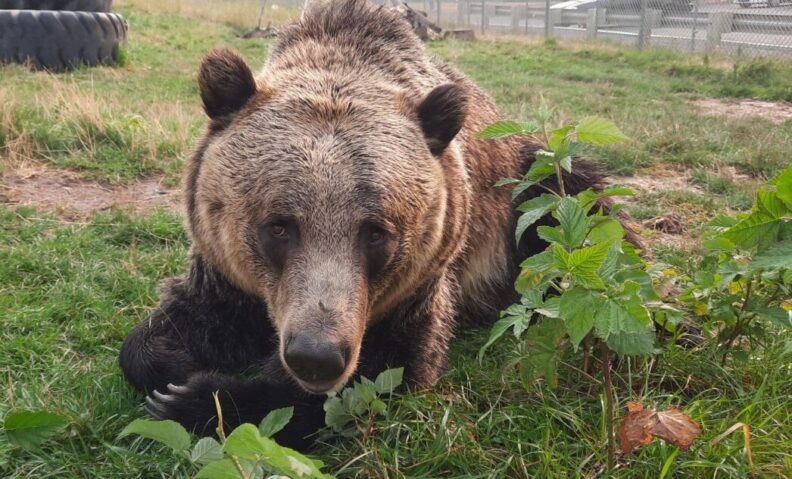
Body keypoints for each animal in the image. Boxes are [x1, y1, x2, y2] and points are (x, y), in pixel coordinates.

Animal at [119, 0, 615, 448]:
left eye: (376, 232)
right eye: (279, 226)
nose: (315, 355)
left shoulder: (422, 282)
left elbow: (382, 371)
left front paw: (196, 399)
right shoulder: (225, 273)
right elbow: (166, 329)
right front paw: (174, 373)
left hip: (532, 187)